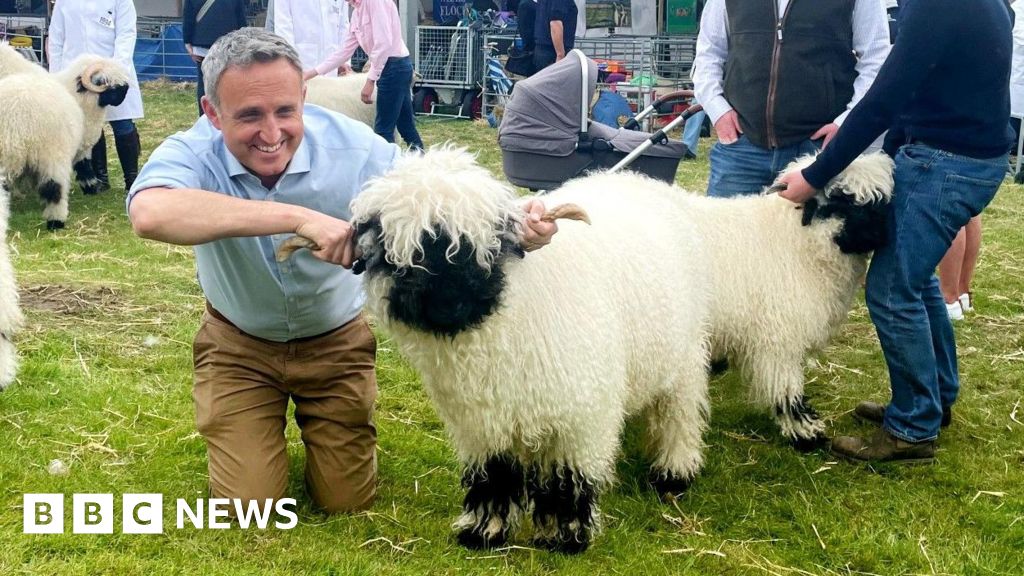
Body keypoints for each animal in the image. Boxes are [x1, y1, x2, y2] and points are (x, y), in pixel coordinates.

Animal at [0, 43, 132, 227]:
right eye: (106, 82)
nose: (125, 93)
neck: (76, 96)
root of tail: (14, 121)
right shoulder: (78, 143)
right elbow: (84, 166)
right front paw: (91, 188)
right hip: (51, 152)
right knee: (55, 186)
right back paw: (56, 220)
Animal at [278, 147, 712, 553]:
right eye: (391, 252)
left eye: (486, 246)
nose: (445, 303)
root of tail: (640, 180)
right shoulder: (482, 421)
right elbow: (493, 476)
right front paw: (483, 532)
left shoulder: (581, 417)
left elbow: (568, 481)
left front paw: (566, 539)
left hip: (687, 355)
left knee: (680, 415)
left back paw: (673, 474)